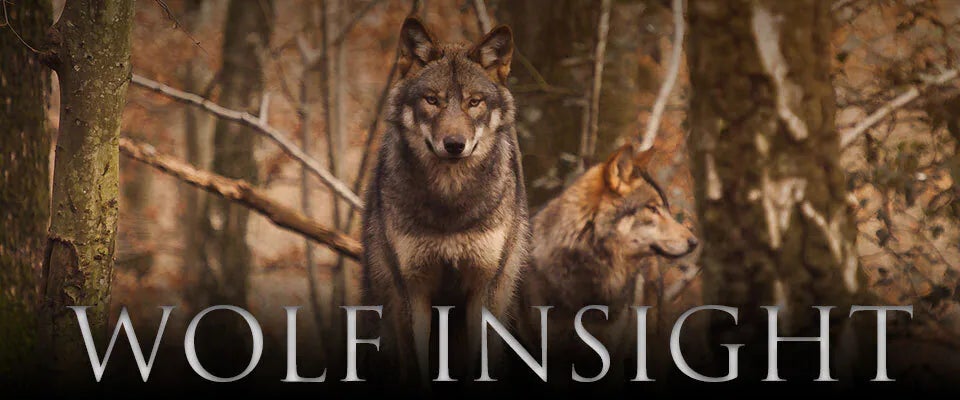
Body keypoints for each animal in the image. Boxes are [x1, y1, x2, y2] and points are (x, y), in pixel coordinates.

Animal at [361, 18, 529, 383]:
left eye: (474, 102)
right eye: (432, 100)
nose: (454, 144)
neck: (450, 204)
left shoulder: (484, 287)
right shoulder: (412, 290)